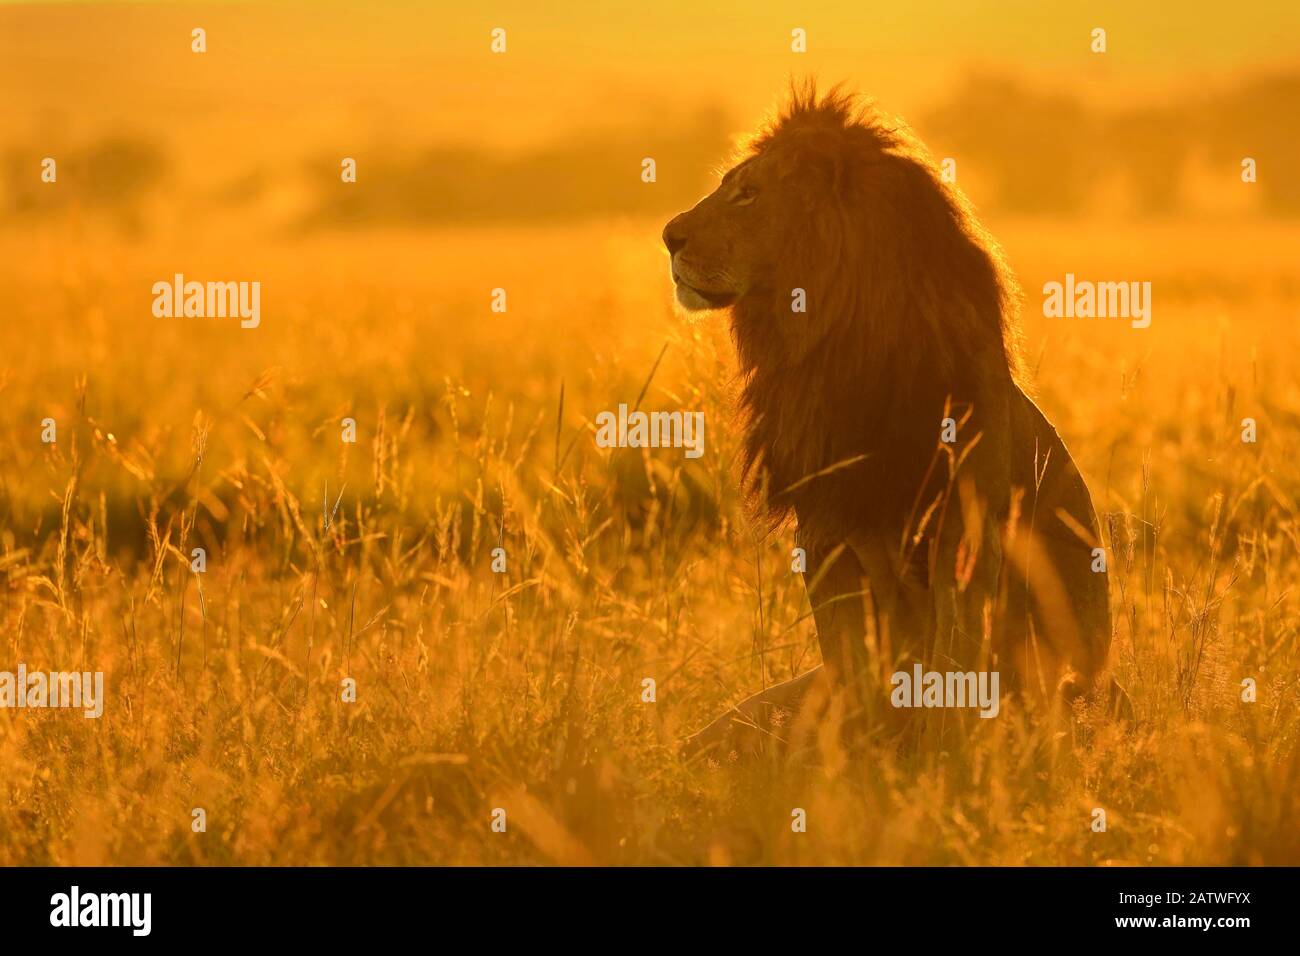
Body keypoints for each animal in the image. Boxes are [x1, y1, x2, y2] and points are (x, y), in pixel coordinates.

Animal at [663, 82, 1128, 758]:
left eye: (747, 192)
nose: (667, 236)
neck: (830, 349)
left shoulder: (964, 528)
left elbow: (953, 661)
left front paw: (940, 759)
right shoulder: (825, 531)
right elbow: (855, 663)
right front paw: (859, 761)